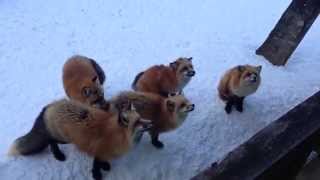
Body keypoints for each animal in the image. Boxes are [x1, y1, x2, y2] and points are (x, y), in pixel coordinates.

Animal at [7, 98, 151, 180]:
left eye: (141, 118)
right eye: (137, 122)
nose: (151, 123)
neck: (117, 134)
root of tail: (49, 106)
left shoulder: (102, 150)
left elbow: (102, 160)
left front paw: (105, 165)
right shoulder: (98, 149)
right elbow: (96, 165)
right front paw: (97, 175)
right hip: (63, 139)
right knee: (50, 141)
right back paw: (58, 155)